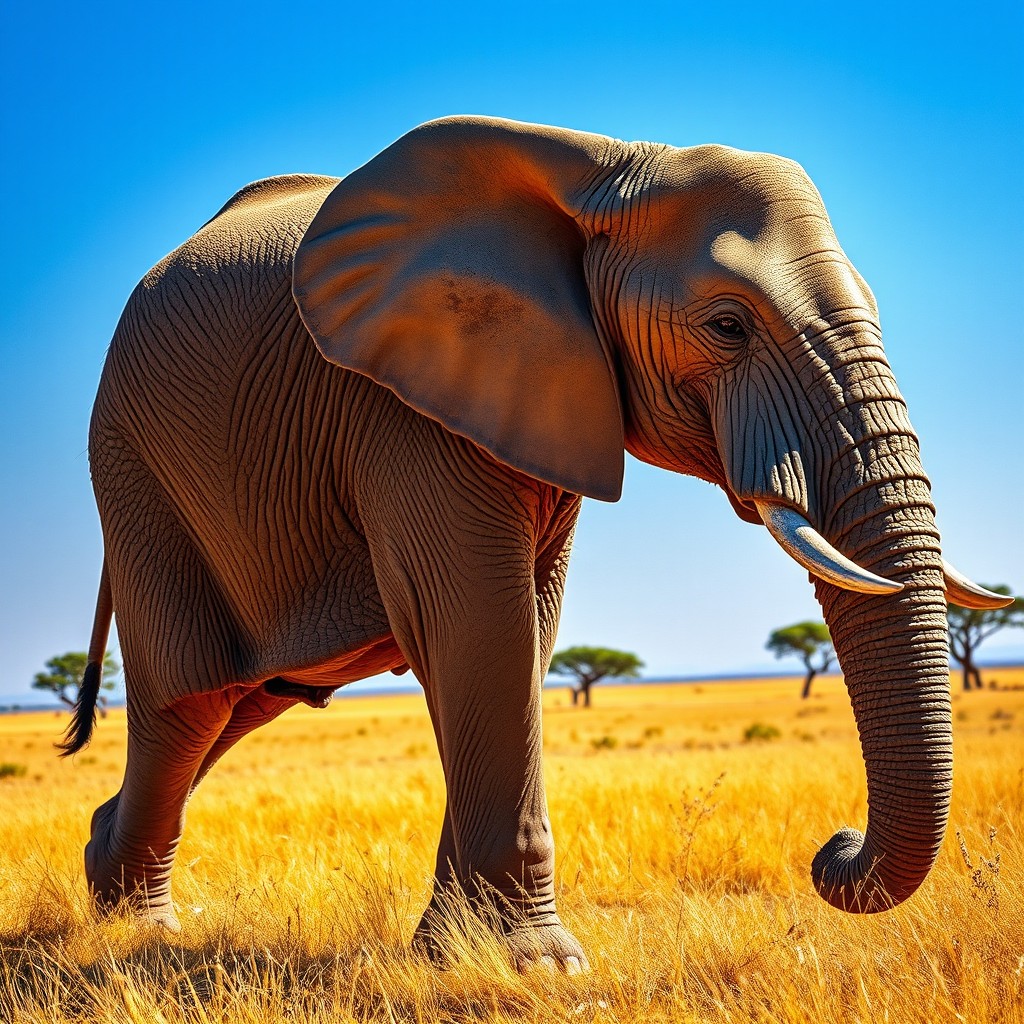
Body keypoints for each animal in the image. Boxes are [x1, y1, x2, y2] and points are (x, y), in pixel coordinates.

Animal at [68, 115, 1010, 970]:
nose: (833, 847)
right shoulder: (400, 405)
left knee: (254, 695)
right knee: (191, 701)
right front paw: (537, 965)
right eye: (728, 326)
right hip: (134, 465)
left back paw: (106, 868)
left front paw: (454, 953)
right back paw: (141, 928)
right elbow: (481, 627)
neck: (604, 167)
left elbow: (523, 627)